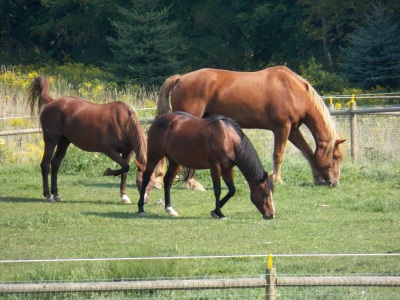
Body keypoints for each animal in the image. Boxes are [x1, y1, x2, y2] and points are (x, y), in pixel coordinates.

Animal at [27, 76, 154, 205]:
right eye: (142, 181)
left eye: (152, 184)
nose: (145, 201)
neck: (124, 122)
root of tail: (52, 101)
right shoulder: (109, 150)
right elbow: (125, 167)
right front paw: (108, 172)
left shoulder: (128, 152)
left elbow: (125, 171)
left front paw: (124, 196)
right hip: (51, 140)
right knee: (45, 164)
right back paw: (48, 195)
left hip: (64, 142)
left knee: (55, 164)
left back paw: (56, 194)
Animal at [138, 111, 276, 219]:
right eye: (264, 193)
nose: (271, 214)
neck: (228, 138)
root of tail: (158, 119)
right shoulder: (215, 167)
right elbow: (217, 190)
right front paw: (218, 213)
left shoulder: (227, 169)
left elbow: (232, 190)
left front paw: (215, 210)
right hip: (154, 157)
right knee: (145, 179)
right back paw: (141, 208)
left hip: (175, 161)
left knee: (167, 181)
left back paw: (170, 209)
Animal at [158, 67, 346, 186]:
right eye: (335, 156)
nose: (335, 182)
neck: (294, 90)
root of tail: (180, 78)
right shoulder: (282, 128)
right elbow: (278, 154)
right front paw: (277, 179)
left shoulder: (293, 130)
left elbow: (307, 152)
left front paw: (317, 178)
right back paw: (190, 183)